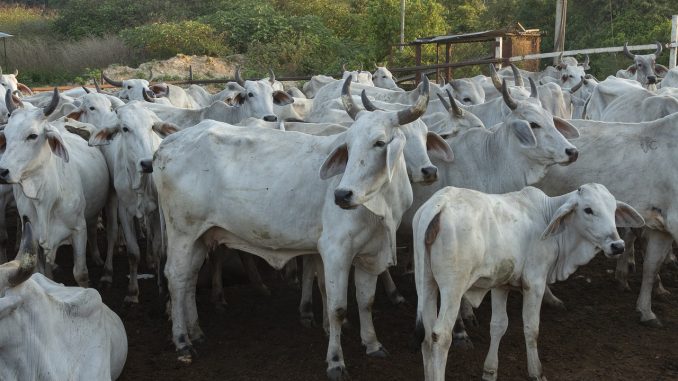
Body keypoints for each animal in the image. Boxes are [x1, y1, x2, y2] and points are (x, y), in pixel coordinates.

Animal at [153, 76, 432, 378]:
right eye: (348, 144)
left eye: (379, 143)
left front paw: (372, 344)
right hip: (182, 232)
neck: (381, 205)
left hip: (201, 236)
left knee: (189, 278)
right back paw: (182, 341)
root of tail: (168, 143)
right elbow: (337, 308)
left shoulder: (370, 253)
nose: (342, 195)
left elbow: (365, 301)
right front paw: (336, 361)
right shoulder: (335, 252)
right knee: (176, 277)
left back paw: (195, 331)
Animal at [412, 183, 644, 380]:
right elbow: (532, 328)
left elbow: (498, 325)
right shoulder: (535, 283)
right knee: (440, 336)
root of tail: (439, 205)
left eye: (613, 209)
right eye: (588, 210)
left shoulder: (500, 284)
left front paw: (490, 371)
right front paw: (536, 372)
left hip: (425, 283)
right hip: (453, 287)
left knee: (426, 336)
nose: (617, 245)